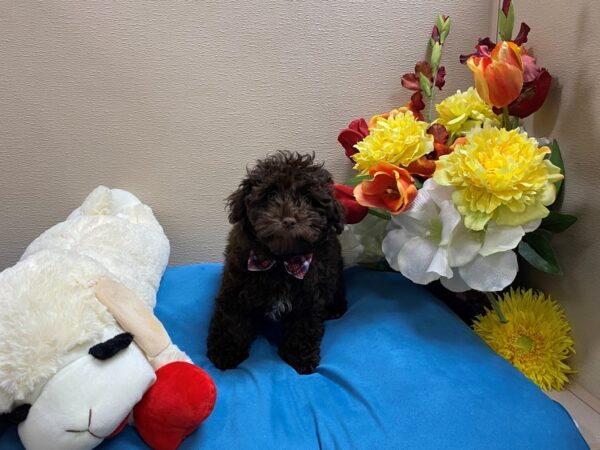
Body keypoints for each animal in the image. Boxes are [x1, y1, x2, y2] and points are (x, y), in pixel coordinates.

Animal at [206, 153, 346, 374]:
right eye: (271, 195)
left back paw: (336, 309)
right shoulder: (235, 287)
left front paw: (299, 358)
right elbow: (231, 320)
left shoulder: (310, 297)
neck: (281, 261)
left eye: (308, 199)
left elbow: (303, 326)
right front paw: (225, 353)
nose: (288, 220)